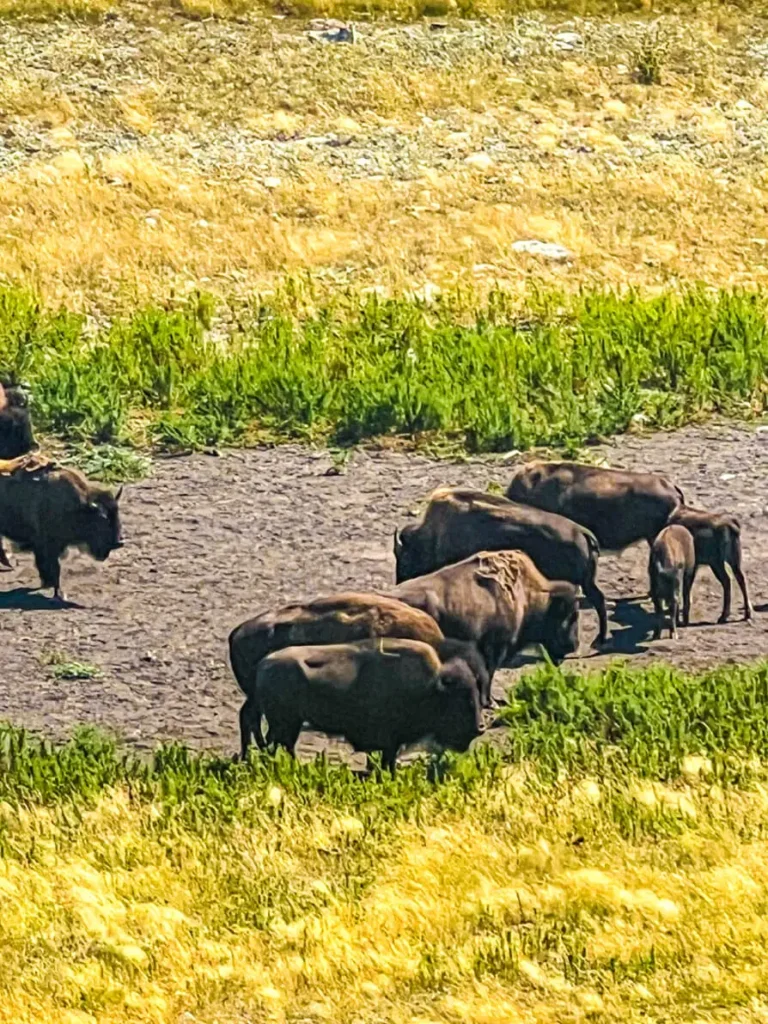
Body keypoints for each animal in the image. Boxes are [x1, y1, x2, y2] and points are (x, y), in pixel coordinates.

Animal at [0, 462, 123, 598]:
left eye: (117, 514)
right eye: (102, 518)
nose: (117, 543)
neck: (79, 506)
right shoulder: (47, 545)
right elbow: (53, 567)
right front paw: (56, 591)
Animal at [244, 634, 487, 770]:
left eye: (475, 693)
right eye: (461, 699)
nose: (479, 728)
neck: (430, 688)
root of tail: (263, 665)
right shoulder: (389, 742)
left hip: (287, 725)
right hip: (286, 724)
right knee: (278, 745)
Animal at [397, 485, 606, 643]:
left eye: (405, 560)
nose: (400, 584)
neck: (434, 534)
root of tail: (582, 532)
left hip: (583, 582)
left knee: (598, 599)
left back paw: (600, 639)